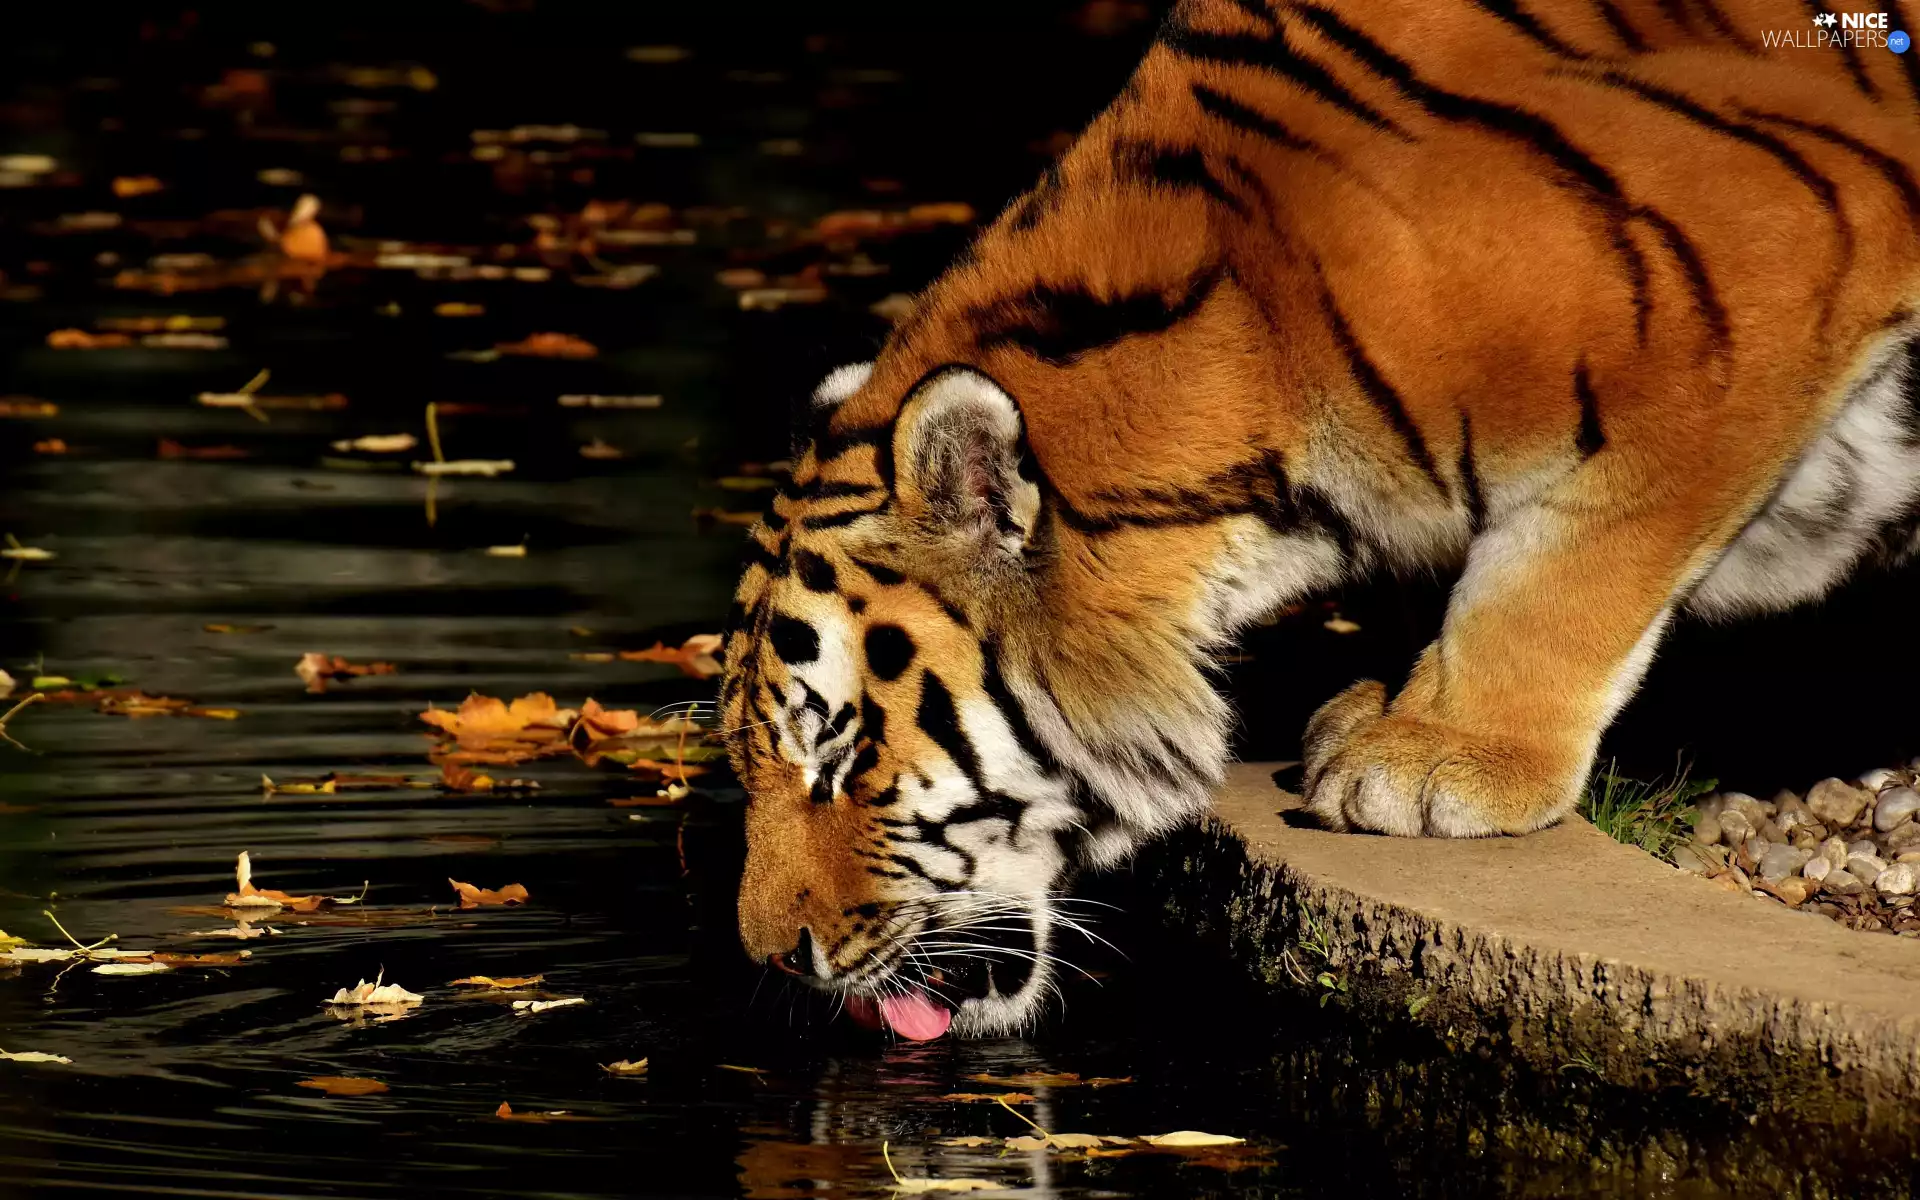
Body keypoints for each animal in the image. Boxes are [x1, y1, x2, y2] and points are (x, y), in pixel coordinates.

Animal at [720, 0, 1920, 1039]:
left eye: (838, 758)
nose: (772, 957)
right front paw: (1385, 706)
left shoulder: (1747, 304)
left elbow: (1572, 565)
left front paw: (1442, 757)